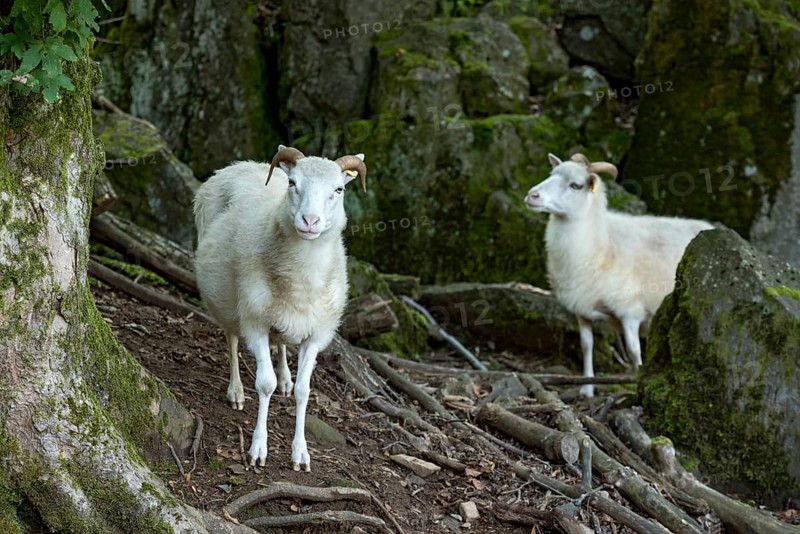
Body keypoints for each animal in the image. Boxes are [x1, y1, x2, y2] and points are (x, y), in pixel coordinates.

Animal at [194, 145, 367, 470]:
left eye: (338, 189)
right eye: (292, 183)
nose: (309, 221)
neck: (302, 277)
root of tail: (240, 164)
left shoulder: (316, 335)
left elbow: (303, 391)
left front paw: (300, 452)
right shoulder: (256, 323)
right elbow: (265, 384)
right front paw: (258, 448)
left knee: (283, 344)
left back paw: (285, 375)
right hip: (228, 298)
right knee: (231, 337)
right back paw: (236, 391)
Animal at [524, 153, 713, 397]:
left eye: (576, 185)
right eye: (552, 174)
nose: (531, 195)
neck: (602, 242)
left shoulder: (629, 310)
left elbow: (633, 351)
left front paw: (639, 386)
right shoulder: (582, 310)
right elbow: (587, 345)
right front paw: (587, 389)